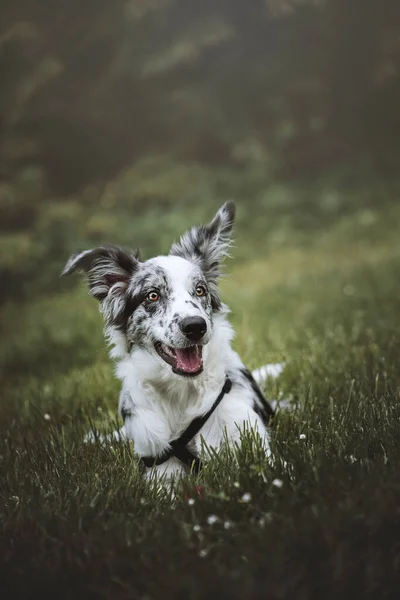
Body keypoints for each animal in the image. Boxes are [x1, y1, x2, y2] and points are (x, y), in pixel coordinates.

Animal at [63, 204, 282, 480]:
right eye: (152, 296)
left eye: (200, 290)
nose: (195, 326)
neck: (182, 392)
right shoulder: (160, 465)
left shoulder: (249, 438)